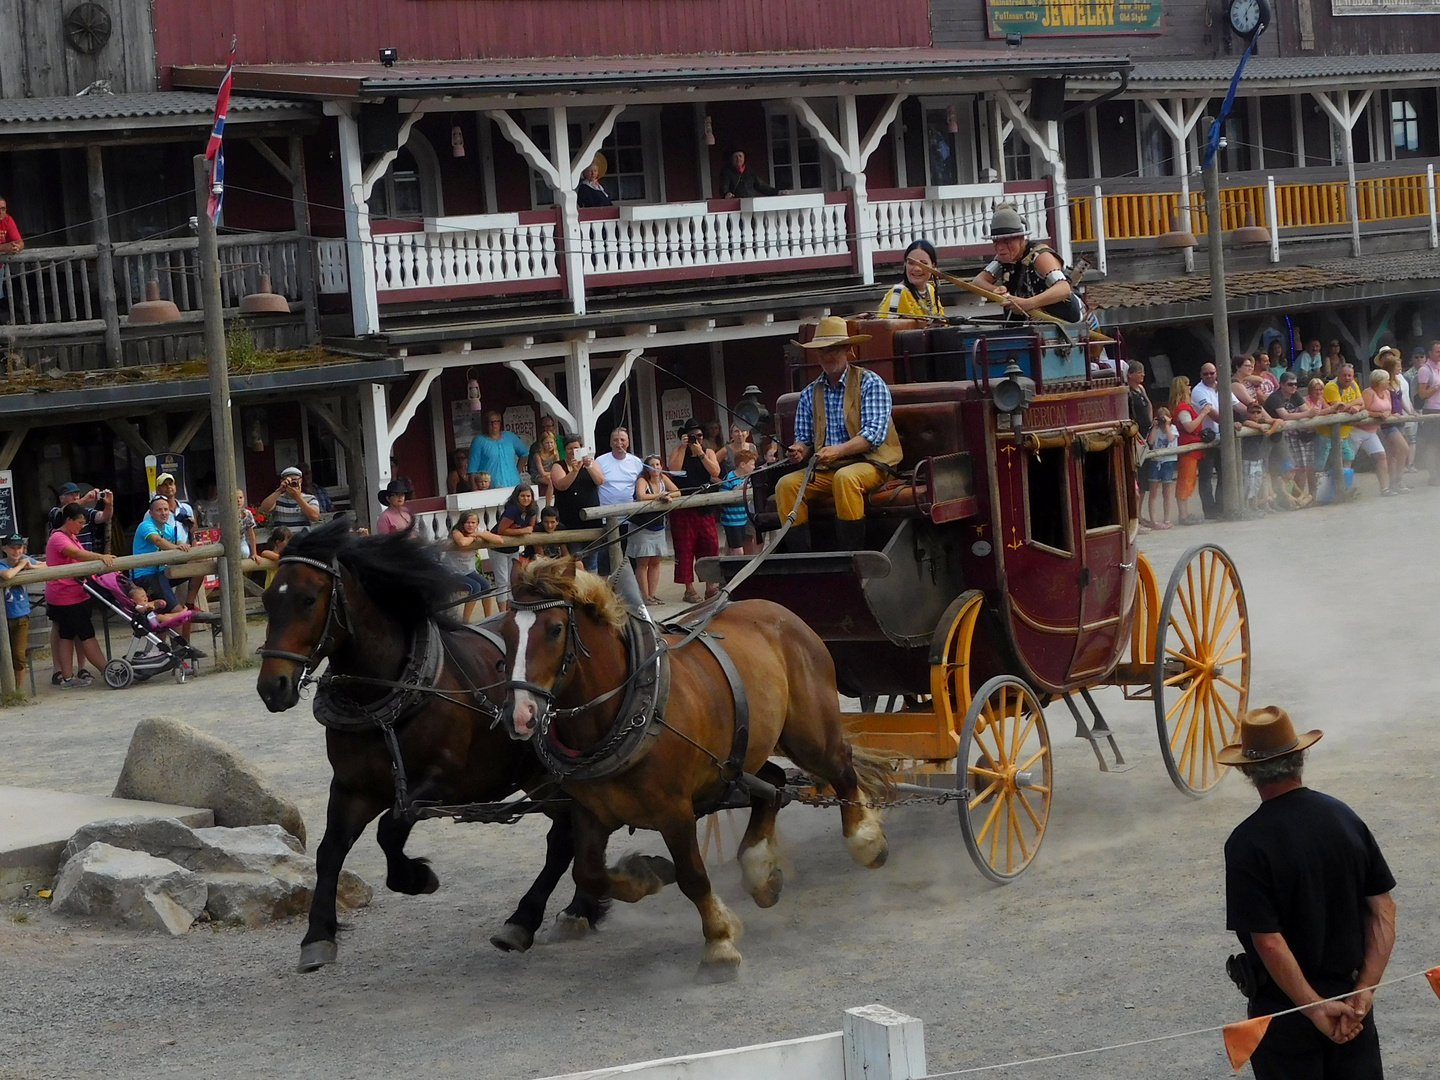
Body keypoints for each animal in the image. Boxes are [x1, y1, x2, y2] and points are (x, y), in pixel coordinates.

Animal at [253, 521, 601, 979]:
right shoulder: (352, 787)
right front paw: (317, 936)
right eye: (266, 600)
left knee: (566, 836)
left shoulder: (444, 783)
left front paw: (415, 877)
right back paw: (573, 908)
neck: (391, 693)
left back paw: (537, 917)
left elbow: (390, 828)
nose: (271, 687)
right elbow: (329, 852)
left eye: (308, 599)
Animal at [501, 558, 892, 979]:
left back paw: (865, 840)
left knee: (842, 769)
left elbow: (692, 876)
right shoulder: (590, 811)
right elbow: (588, 871)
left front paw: (719, 940)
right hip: (738, 757)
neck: (627, 710)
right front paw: (646, 874)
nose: (520, 715)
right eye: (505, 632)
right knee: (774, 785)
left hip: (809, 734)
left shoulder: (674, 811)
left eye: (555, 629)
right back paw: (759, 870)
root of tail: (781, 613)